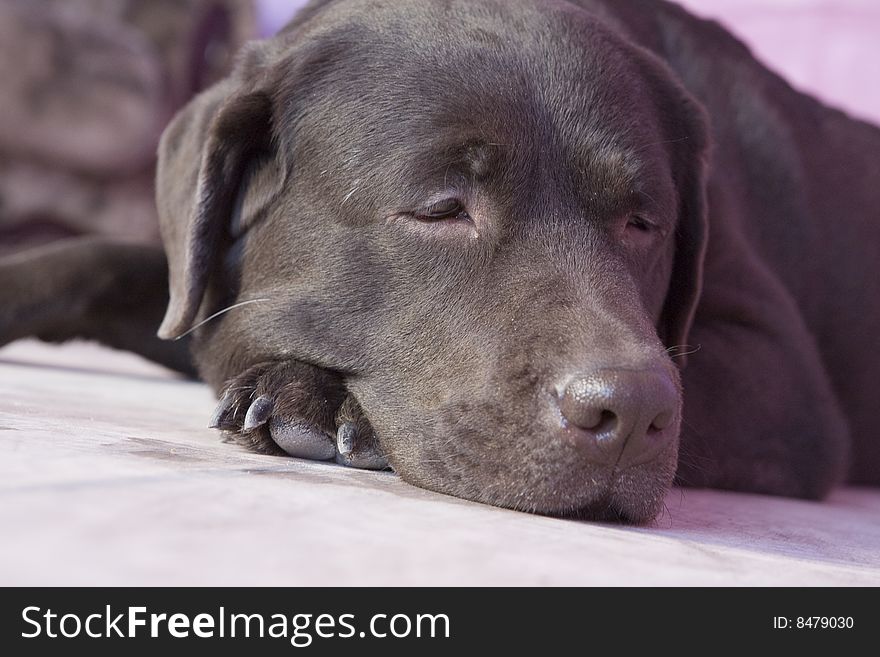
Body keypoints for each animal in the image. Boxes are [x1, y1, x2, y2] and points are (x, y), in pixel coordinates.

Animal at [0, 0, 876, 524]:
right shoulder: (208, 280)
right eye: (442, 208)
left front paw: (321, 396)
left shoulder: (783, 379)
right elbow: (110, 267)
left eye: (643, 223)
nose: (629, 414)